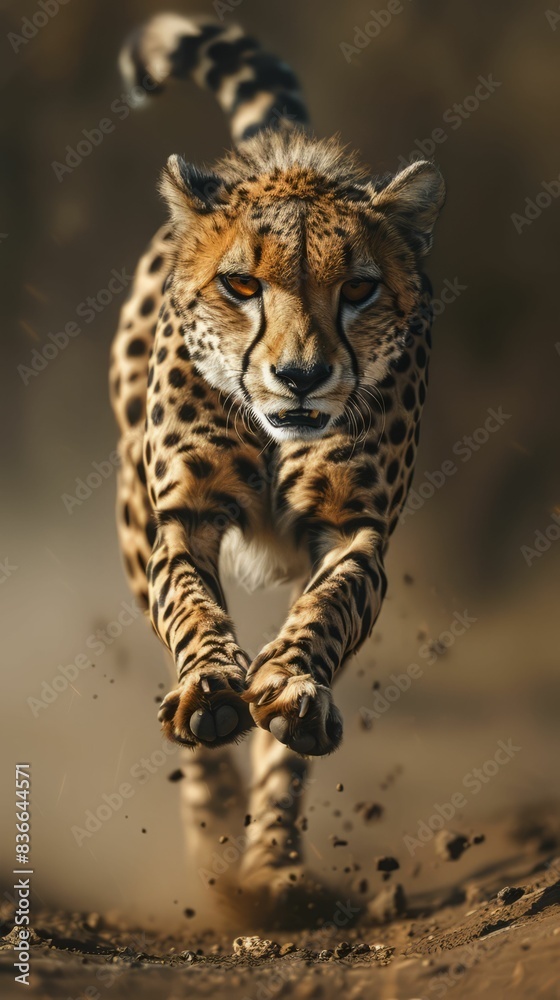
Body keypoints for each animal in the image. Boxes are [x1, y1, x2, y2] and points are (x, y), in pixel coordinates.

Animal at [109, 12, 445, 915]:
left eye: (359, 290)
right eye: (241, 286)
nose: (300, 375)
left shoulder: (352, 529)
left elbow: (324, 615)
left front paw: (289, 690)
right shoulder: (180, 518)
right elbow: (191, 611)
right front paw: (210, 693)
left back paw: (274, 857)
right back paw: (219, 824)